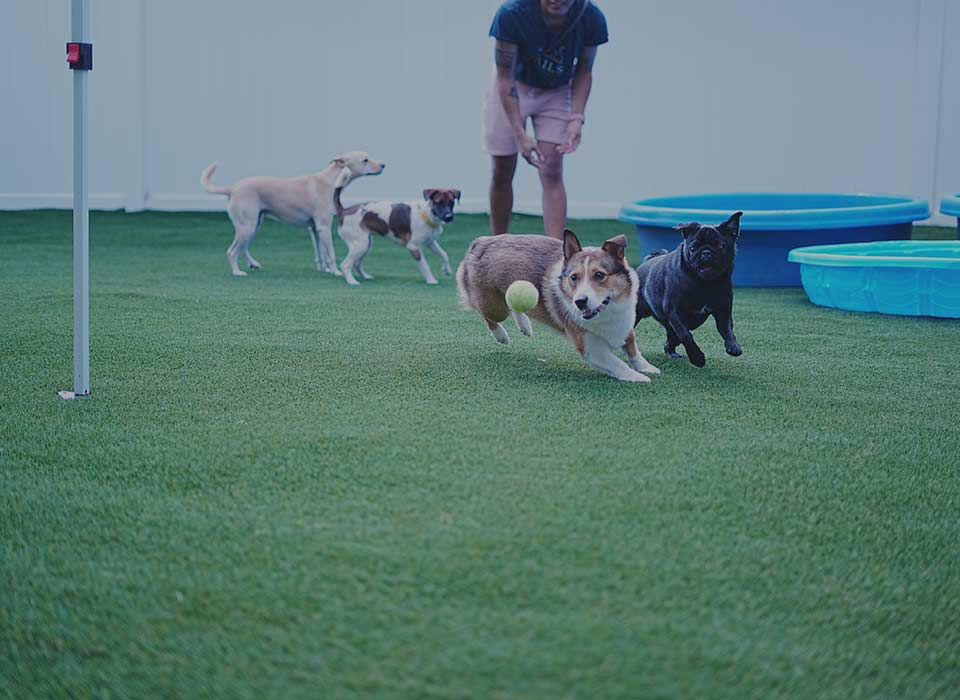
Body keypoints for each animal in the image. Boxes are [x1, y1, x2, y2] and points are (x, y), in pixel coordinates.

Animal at [334, 189, 462, 284]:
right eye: (438, 202)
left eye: (451, 202)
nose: (449, 217)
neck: (427, 215)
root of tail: (344, 211)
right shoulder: (413, 247)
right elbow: (425, 265)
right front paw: (431, 280)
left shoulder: (430, 242)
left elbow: (444, 254)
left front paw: (447, 270)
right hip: (361, 244)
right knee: (345, 264)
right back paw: (352, 282)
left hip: (366, 244)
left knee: (356, 263)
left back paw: (366, 276)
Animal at [458, 230, 660, 382]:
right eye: (574, 277)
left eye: (599, 275)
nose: (579, 302)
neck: (608, 312)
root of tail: (480, 242)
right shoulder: (590, 347)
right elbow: (617, 363)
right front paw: (637, 377)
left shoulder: (624, 324)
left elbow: (633, 349)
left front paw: (647, 368)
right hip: (495, 308)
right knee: (488, 316)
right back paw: (501, 336)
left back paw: (525, 326)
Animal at [632, 212, 748, 366]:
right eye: (693, 248)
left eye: (720, 246)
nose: (706, 252)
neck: (704, 283)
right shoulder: (674, 312)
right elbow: (686, 335)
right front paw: (697, 358)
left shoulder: (723, 311)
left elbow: (727, 329)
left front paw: (733, 346)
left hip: (670, 328)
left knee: (670, 341)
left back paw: (672, 353)